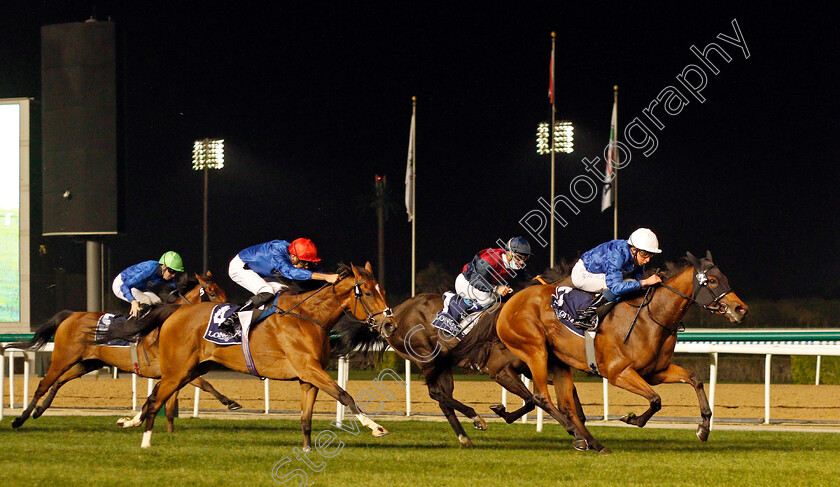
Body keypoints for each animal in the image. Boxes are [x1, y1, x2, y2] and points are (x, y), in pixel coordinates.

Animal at [4, 272, 240, 432]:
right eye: (212, 293)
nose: (231, 312)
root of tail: (72, 315)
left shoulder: (174, 371)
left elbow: (167, 398)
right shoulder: (173, 368)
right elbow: (202, 384)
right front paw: (230, 402)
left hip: (87, 362)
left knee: (59, 382)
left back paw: (39, 411)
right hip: (62, 358)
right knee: (43, 385)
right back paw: (19, 419)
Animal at [98, 264, 398, 450]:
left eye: (383, 291)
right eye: (367, 292)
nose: (390, 325)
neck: (309, 317)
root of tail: (175, 312)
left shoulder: (308, 377)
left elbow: (306, 418)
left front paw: (307, 450)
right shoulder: (309, 369)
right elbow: (345, 395)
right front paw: (375, 427)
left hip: (191, 369)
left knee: (155, 395)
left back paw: (130, 422)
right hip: (178, 369)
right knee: (157, 398)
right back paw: (146, 440)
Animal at [456, 252, 752, 454]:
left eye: (725, 278)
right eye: (711, 280)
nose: (741, 309)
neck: (651, 316)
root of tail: (509, 302)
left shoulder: (655, 371)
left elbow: (694, 379)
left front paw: (703, 429)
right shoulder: (618, 373)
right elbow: (655, 400)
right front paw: (633, 418)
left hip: (557, 361)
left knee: (565, 404)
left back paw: (593, 443)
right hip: (535, 351)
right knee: (540, 396)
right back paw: (578, 437)